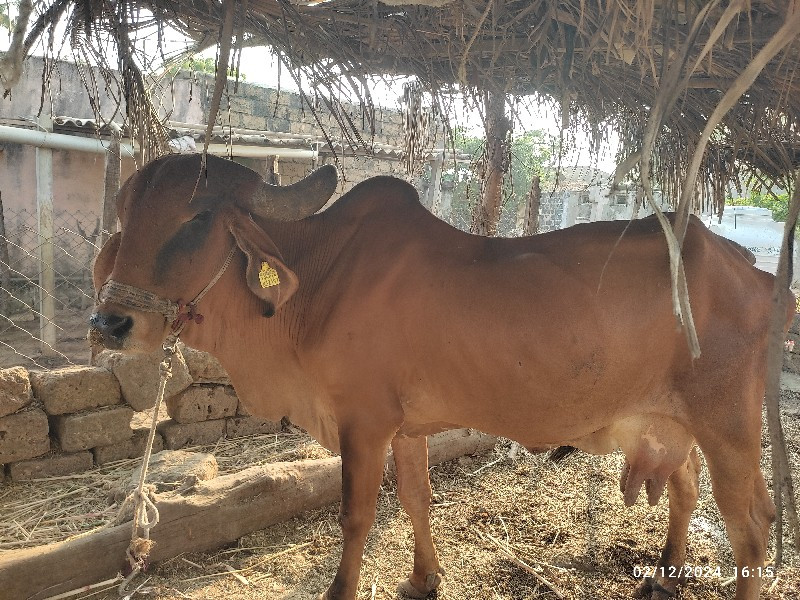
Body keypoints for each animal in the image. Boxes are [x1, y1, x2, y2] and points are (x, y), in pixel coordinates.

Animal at [92, 155, 792, 600]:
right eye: (124, 211)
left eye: (196, 221)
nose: (110, 322)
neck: (318, 279)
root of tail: (755, 272)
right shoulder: (407, 429)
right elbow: (415, 499)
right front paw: (423, 579)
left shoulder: (364, 423)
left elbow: (355, 516)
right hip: (672, 422)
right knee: (688, 490)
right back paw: (666, 572)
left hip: (729, 426)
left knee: (752, 526)